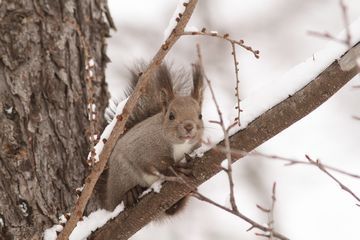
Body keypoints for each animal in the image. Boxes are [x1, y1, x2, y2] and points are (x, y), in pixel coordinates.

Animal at [103, 62, 205, 214]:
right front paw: (175, 169)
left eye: (200, 115)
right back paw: (130, 193)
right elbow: (154, 163)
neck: (180, 145)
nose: (188, 126)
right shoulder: (145, 146)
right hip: (122, 175)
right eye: (171, 116)